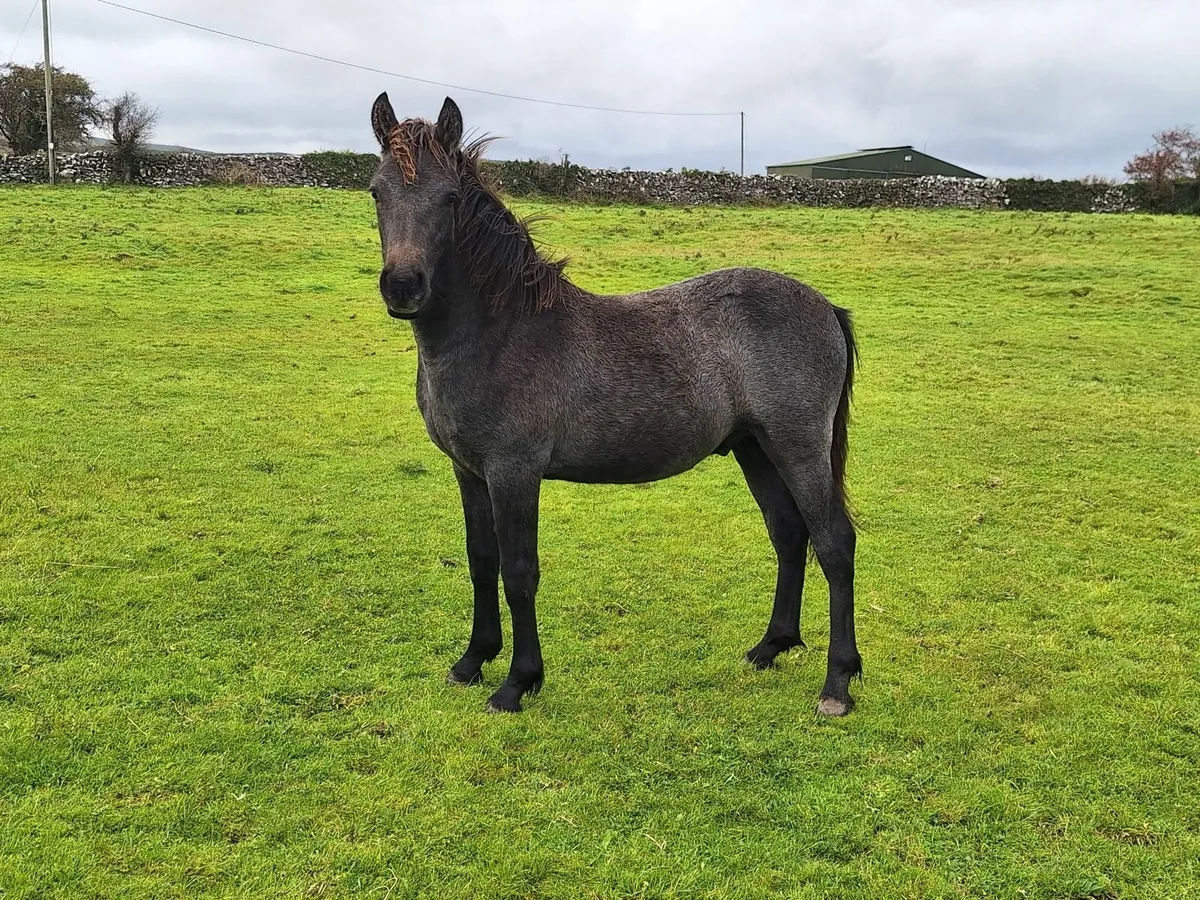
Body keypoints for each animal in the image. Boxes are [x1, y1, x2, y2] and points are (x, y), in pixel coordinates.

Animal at [367, 93, 862, 716]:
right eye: (376, 191)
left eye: (449, 197)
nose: (403, 286)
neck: (500, 332)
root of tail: (826, 307)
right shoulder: (469, 471)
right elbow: (482, 564)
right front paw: (472, 662)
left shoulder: (513, 472)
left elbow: (518, 572)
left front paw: (517, 682)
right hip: (755, 448)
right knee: (790, 535)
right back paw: (770, 647)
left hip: (798, 447)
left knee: (834, 543)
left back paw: (838, 683)